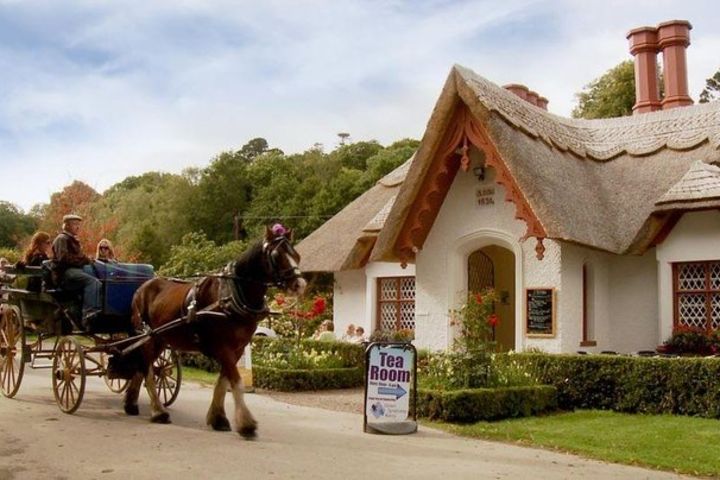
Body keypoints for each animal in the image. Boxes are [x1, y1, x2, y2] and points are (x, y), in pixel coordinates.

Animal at [124, 225, 304, 436]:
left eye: (296, 255)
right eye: (276, 256)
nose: (300, 285)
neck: (230, 294)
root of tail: (142, 288)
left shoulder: (237, 349)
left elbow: (223, 382)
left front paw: (218, 418)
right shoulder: (222, 347)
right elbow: (236, 382)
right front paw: (246, 423)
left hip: (159, 339)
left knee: (143, 366)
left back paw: (131, 403)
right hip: (148, 337)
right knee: (147, 369)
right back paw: (158, 412)